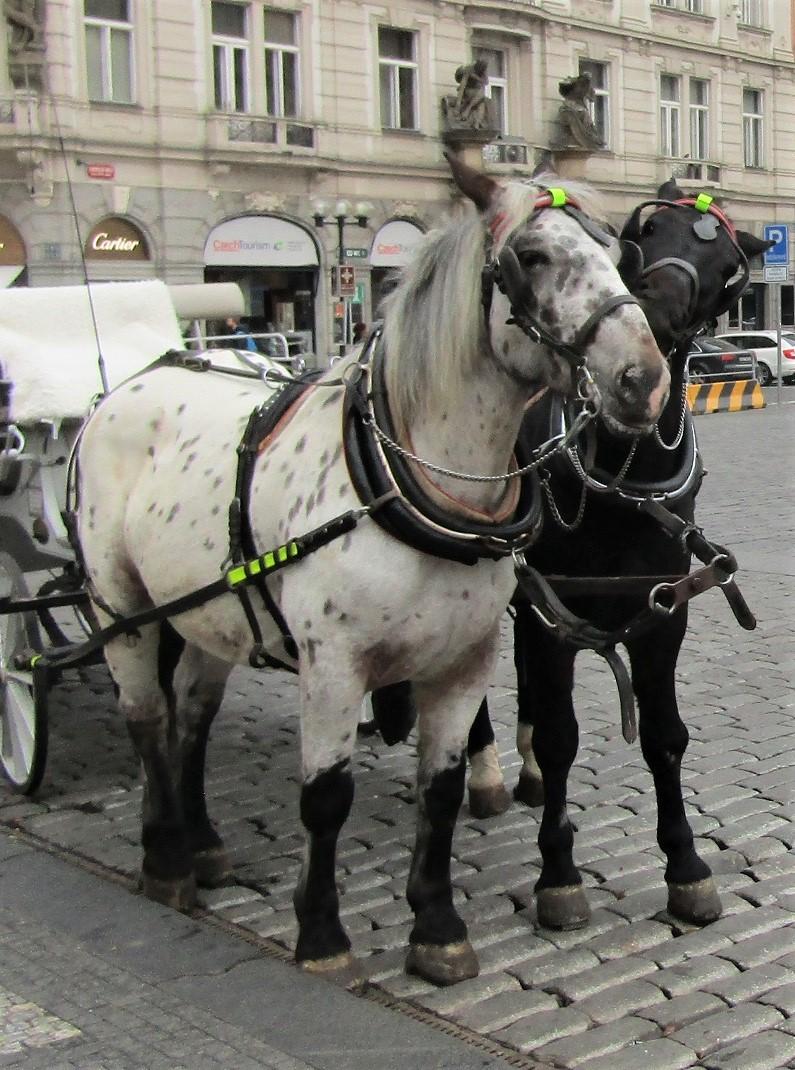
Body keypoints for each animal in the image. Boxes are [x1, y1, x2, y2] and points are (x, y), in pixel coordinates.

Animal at [466, 179, 770, 933]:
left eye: (727, 267)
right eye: (643, 232)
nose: (654, 313)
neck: (619, 479)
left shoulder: (660, 614)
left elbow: (663, 735)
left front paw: (685, 866)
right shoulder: (549, 611)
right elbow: (560, 736)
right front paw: (558, 875)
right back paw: (486, 772)